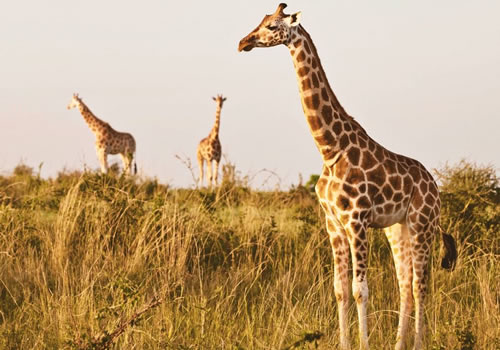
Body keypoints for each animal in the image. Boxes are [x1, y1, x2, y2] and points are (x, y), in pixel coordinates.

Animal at [238, 3, 458, 350]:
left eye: (272, 26)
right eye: (259, 21)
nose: (243, 42)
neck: (330, 149)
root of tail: (434, 186)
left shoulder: (357, 220)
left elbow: (360, 290)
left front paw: (364, 343)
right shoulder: (333, 223)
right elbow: (340, 290)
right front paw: (344, 342)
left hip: (422, 224)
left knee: (421, 284)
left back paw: (418, 343)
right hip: (397, 229)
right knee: (405, 284)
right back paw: (399, 344)